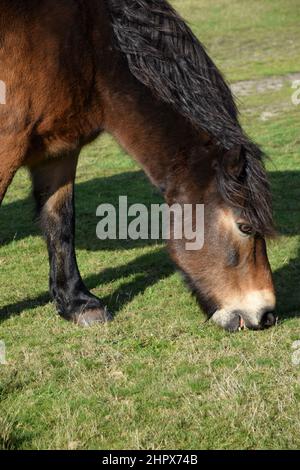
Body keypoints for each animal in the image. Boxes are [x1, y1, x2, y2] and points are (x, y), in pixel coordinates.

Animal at [0, 0, 276, 330]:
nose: (267, 315)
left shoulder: (58, 151)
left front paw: (77, 304)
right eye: (245, 226)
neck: (87, 43)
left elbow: (60, 223)